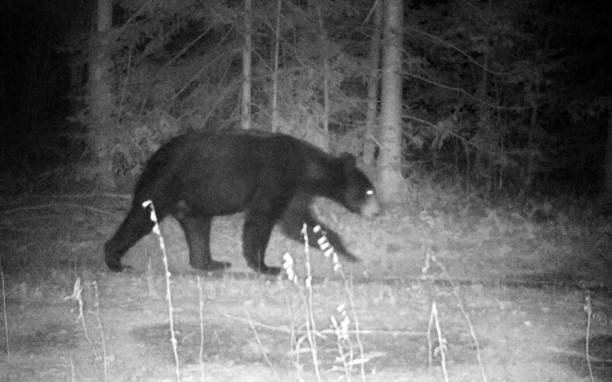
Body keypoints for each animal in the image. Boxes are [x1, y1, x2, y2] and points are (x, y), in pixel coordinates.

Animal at [106, 128, 382, 274]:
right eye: (369, 191)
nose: (378, 211)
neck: (305, 168)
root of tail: (153, 157)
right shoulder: (276, 178)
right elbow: (261, 220)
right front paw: (266, 266)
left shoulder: (294, 191)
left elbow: (300, 223)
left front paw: (347, 253)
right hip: (165, 183)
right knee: (141, 217)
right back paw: (115, 261)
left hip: (193, 201)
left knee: (198, 228)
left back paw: (211, 263)